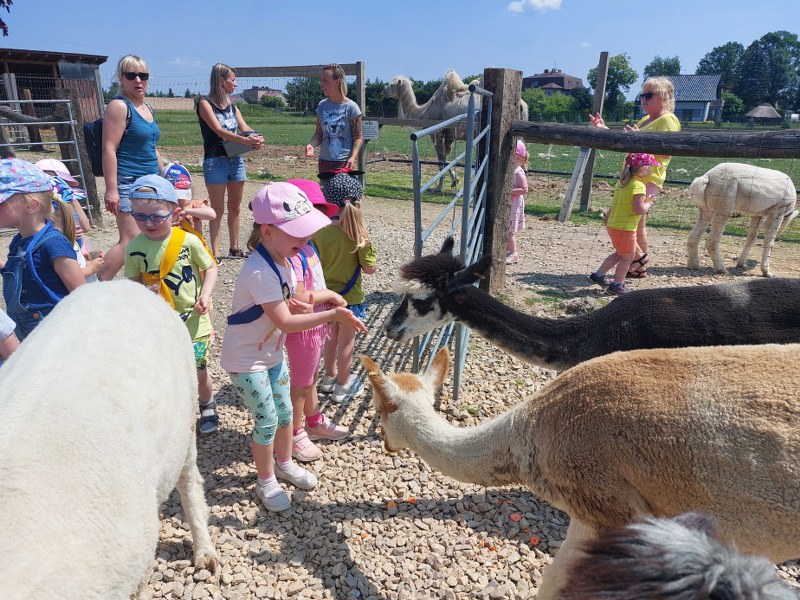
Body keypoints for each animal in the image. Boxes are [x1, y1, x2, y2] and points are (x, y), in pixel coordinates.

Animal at [384, 70, 528, 192]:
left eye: (391, 84)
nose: (383, 90)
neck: (424, 111)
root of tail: (521, 104)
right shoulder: (449, 135)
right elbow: (447, 159)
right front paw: (453, 181)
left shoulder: (437, 133)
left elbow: (441, 161)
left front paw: (440, 187)